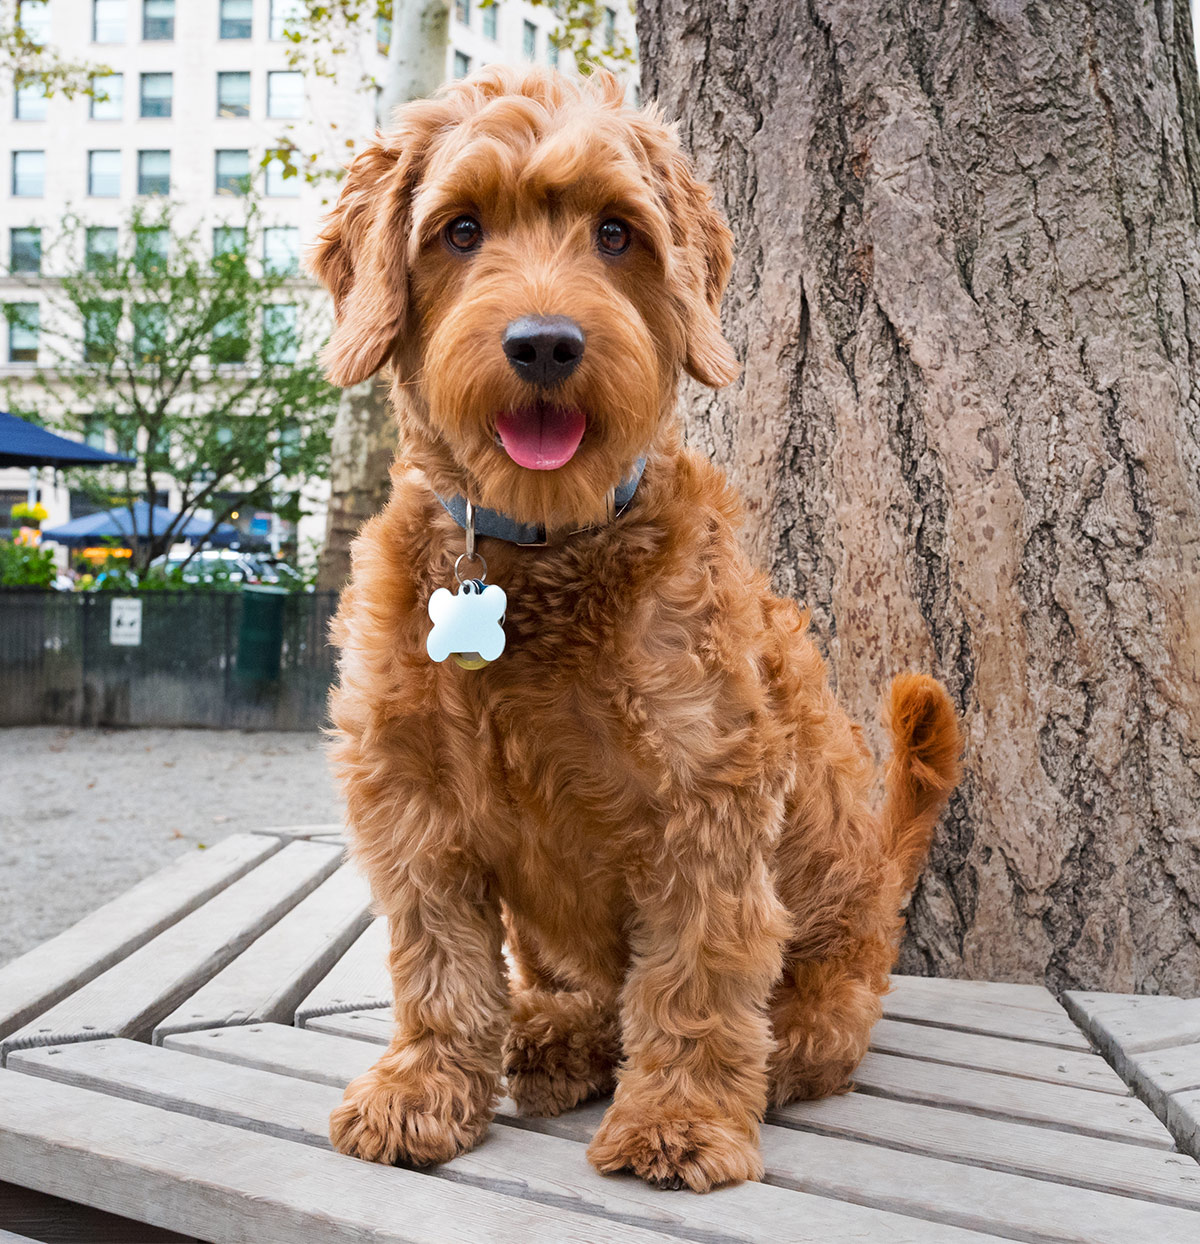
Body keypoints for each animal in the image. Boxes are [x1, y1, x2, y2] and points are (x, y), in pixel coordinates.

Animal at [313, 63, 960, 1189]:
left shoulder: (708, 797)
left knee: (783, 1029)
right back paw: (554, 1037)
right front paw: (423, 1088)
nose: (544, 343)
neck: (539, 557)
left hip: (828, 980)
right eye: (461, 229)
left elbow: (694, 975)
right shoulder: (411, 800)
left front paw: (681, 1118)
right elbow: (439, 966)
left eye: (616, 233)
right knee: (571, 993)